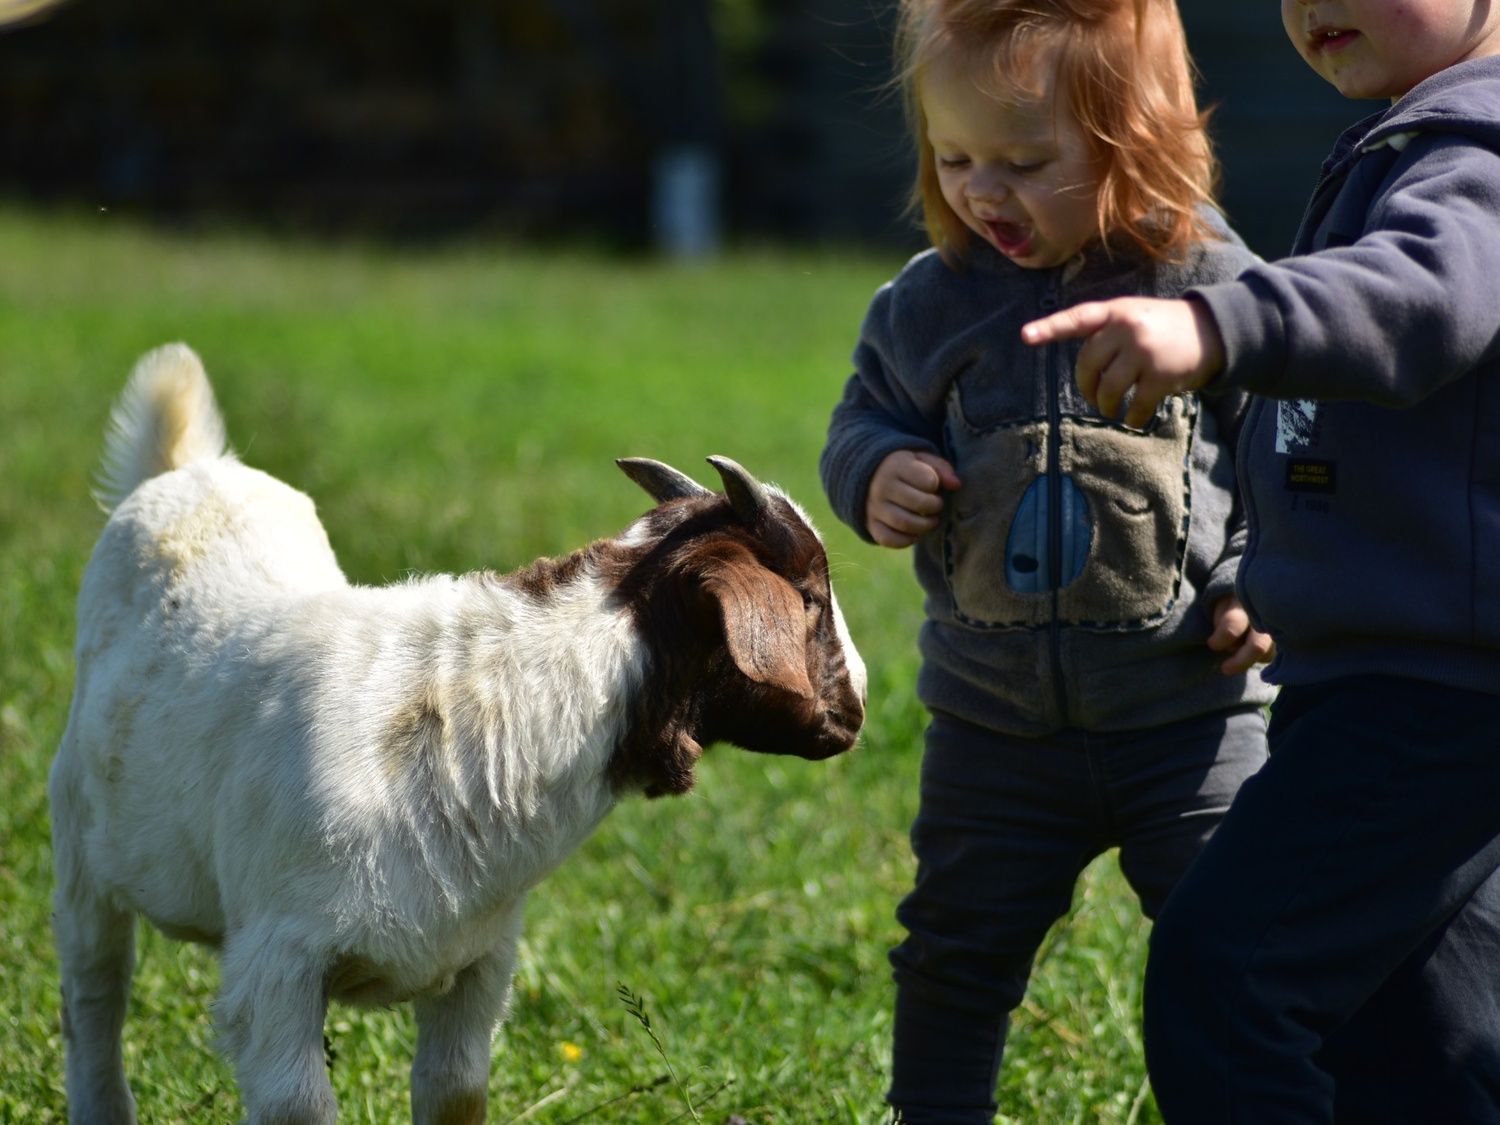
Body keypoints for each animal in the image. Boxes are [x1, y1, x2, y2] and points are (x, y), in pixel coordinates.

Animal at [50, 343, 867, 1125]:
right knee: (94, 993)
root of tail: (192, 470)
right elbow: (297, 1107)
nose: (858, 706)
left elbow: (455, 1092)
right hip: (80, 849)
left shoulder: (482, 959)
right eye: (810, 594)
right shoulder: (276, 965)